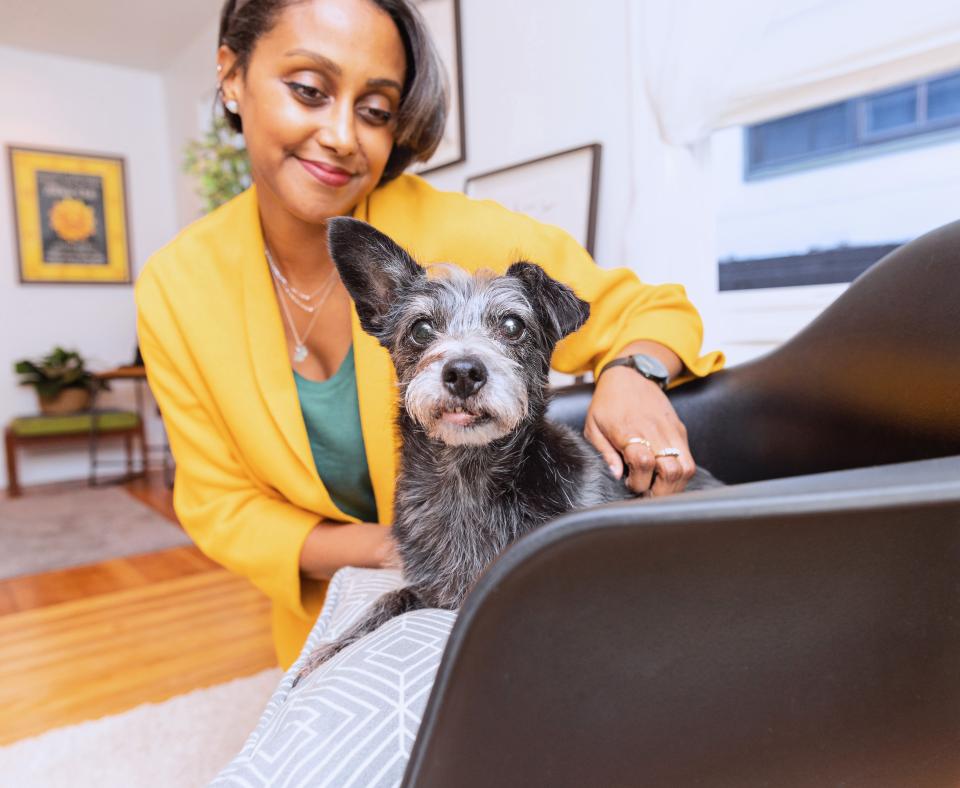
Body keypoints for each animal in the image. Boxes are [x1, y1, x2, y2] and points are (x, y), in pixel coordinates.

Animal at [294, 217, 668, 684]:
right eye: (421, 329)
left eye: (512, 325)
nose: (463, 372)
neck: (465, 480)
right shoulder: (430, 588)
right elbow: (386, 600)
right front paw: (329, 650)